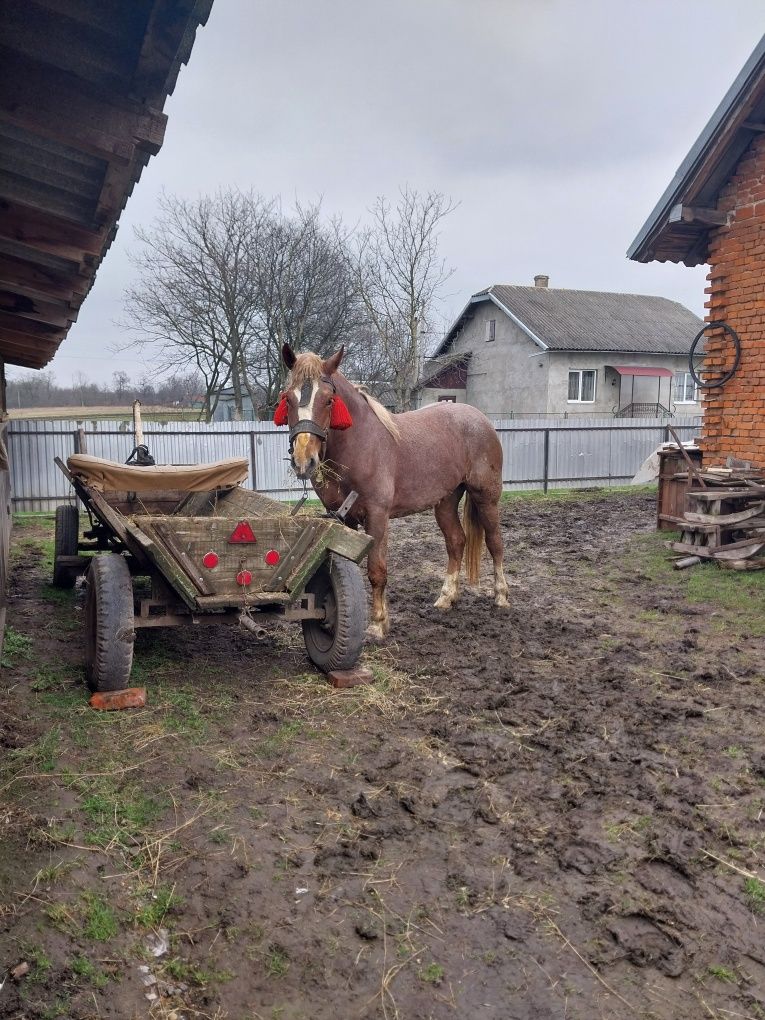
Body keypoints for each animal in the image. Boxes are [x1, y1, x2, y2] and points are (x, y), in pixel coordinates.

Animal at [275, 346, 510, 640]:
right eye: (288, 399)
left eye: (329, 400)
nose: (304, 460)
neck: (360, 446)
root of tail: (481, 419)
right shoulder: (343, 519)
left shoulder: (377, 515)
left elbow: (377, 570)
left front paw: (377, 624)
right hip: (445, 501)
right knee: (456, 541)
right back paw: (446, 597)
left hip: (486, 497)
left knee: (495, 542)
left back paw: (501, 596)